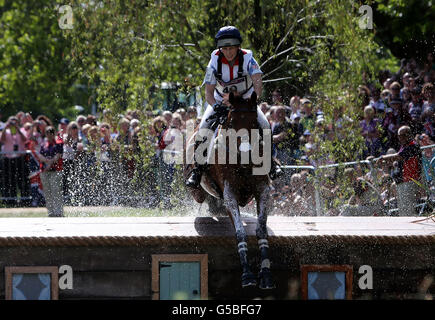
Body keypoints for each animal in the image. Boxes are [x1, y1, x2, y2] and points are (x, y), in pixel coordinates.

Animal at [185, 92, 274, 290]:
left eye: (254, 123)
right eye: (231, 123)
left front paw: (265, 273)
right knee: (202, 196)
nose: (247, 152)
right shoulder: (230, 195)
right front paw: (247, 275)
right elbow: (240, 231)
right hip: (198, 191)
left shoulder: (263, 190)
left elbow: (261, 229)